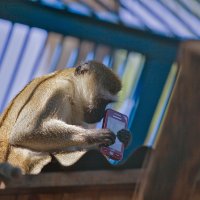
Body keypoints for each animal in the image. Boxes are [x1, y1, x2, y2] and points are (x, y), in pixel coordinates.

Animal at [0, 61, 131, 175]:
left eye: (108, 103)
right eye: (102, 101)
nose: (102, 113)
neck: (72, 86)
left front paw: (125, 138)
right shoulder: (56, 90)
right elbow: (24, 132)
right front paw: (94, 135)